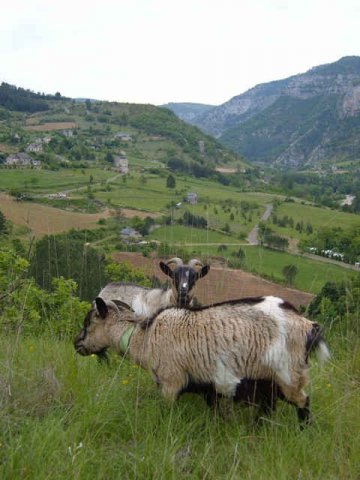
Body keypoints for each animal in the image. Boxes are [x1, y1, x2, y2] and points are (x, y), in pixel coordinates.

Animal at [74, 296, 330, 428]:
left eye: (88, 322)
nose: (76, 344)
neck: (144, 339)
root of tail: (308, 326)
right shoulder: (211, 388)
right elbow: (217, 411)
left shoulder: (171, 382)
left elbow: (166, 412)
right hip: (268, 382)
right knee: (269, 407)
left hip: (290, 375)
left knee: (303, 402)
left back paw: (304, 431)